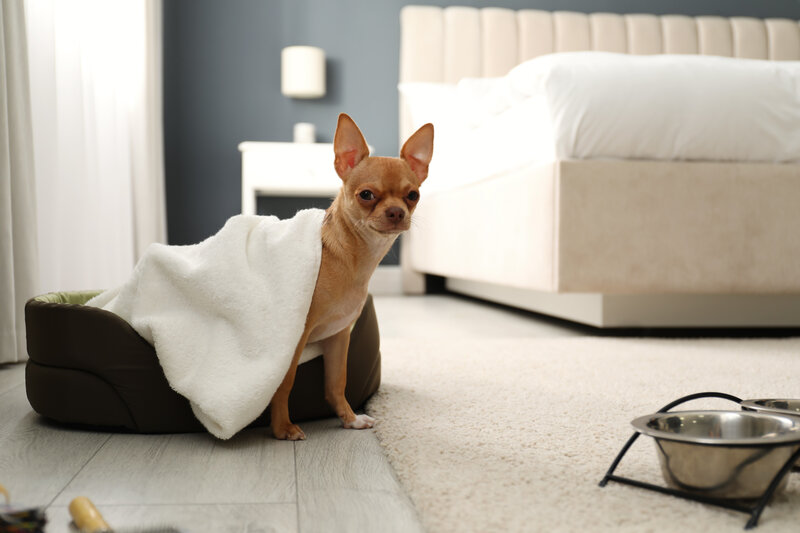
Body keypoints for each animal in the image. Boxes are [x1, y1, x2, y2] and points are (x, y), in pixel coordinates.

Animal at [269, 114, 433, 440]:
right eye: (366, 195)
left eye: (413, 195)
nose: (397, 211)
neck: (355, 259)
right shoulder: (296, 335)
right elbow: (286, 381)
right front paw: (283, 428)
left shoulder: (339, 334)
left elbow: (336, 382)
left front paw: (350, 419)